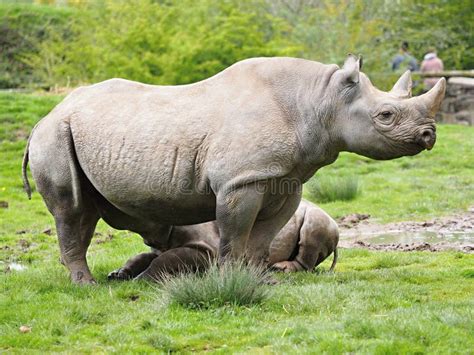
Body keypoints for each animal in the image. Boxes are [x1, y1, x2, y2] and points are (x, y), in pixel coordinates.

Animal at [108, 200, 336, 280]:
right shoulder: (160, 243)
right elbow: (143, 257)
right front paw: (118, 274)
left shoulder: (208, 250)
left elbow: (167, 260)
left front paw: (141, 279)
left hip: (321, 219)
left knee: (313, 226)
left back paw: (280, 269)